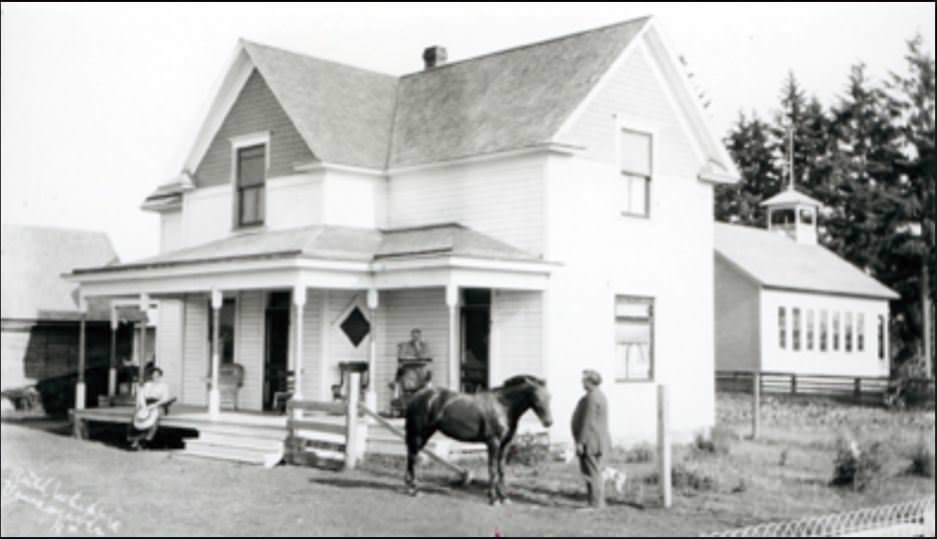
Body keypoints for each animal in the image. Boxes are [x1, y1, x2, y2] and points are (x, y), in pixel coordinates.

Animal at [400, 376, 548, 506]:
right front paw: (493, 499)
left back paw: (411, 487)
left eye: (549, 396)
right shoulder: (493, 443)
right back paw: (414, 490)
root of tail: (417, 396)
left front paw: (504, 498)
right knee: (412, 457)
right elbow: (492, 470)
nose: (549, 422)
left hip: (425, 434)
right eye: (536, 397)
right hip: (419, 434)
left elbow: (501, 470)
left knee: (411, 455)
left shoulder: (505, 444)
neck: (502, 406)